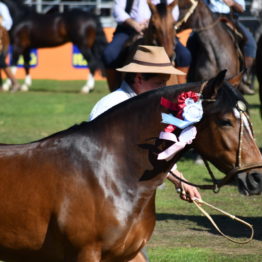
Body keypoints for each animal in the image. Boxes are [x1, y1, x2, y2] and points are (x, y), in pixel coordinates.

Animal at [0, 70, 260, 260]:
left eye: (249, 120)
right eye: (225, 121)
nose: (256, 177)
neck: (108, 174)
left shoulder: (128, 253)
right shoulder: (86, 253)